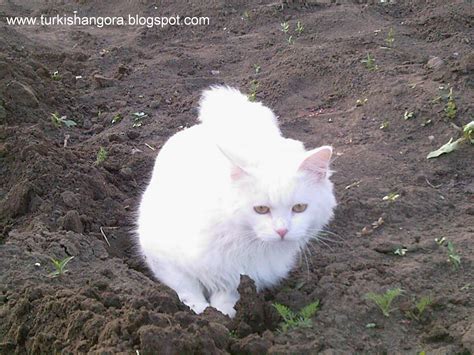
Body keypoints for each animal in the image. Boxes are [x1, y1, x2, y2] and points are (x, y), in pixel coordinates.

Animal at [137, 85, 336, 318]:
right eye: (261, 209)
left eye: (299, 208)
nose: (282, 231)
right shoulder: (163, 259)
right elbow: (188, 290)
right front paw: (200, 313)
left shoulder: (239, 278)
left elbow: (227, 298)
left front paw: (221, 315)